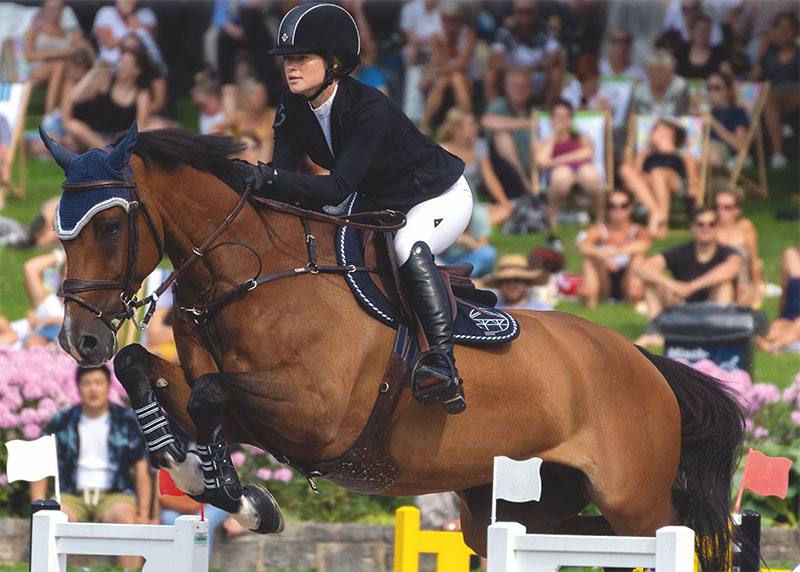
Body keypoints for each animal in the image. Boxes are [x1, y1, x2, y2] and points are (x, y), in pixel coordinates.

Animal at [42, 125, 744, 572]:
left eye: (111, 225)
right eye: (61, 231)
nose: (79, 340)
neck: (248, 275)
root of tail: (645, 362)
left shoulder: (316, 415)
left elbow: (212, 394)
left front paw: (233, 491)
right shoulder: (241, 405)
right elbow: (146, 368)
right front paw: (208, 477)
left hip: (636, 501)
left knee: (677, 537)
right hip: (515, 509)